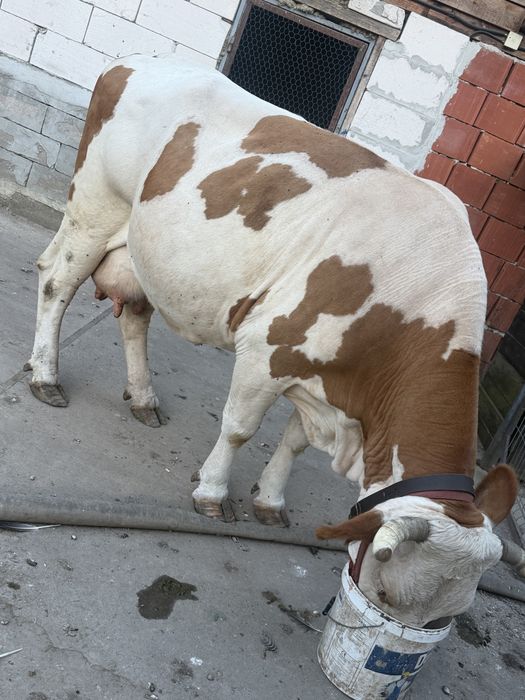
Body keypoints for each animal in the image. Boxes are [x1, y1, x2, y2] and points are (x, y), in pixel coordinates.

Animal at [27, 55, 521, 627]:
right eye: (385, 594)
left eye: (449, 615)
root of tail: (136, 61)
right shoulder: (268, 347)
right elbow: (240, 428)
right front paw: (213, 492)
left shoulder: (326, 376)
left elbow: (294, 442)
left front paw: (270, 502)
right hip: (95, 207)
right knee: (55, 282)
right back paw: (45, 375)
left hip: (146, 249)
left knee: (134, 315)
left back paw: (143, 397)